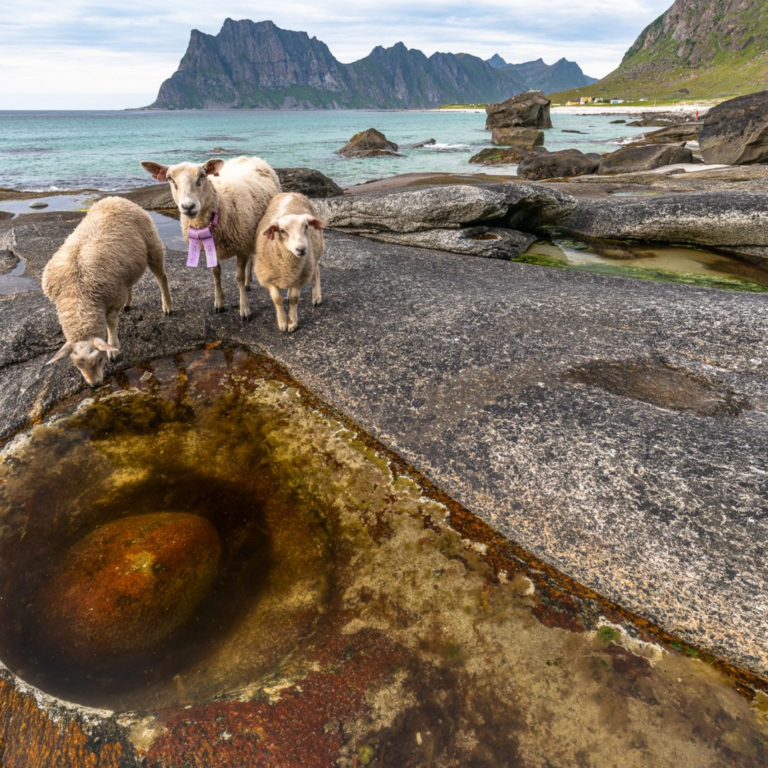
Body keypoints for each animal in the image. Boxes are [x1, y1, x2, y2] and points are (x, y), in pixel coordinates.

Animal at [43, 196, 174, 388]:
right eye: (77, 365)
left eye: (99, 360)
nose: (95, 385)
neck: (78, 296)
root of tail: (116, 198)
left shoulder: (112, 301)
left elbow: (111, 325)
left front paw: (114, 349)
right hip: (125, 267)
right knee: (129, 283)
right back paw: (128, 303)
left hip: (152, 246)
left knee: (162, 277)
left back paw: (167, 305)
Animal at [140, 154, 280, 320]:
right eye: (169, 178)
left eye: (202, 175)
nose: (188, 206)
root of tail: (248, 157)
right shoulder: (211, 247)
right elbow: (216, 274)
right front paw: (219, 302)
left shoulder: (241, 245)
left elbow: (238, 277)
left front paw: (244, 308)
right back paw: (247, 282)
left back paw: (248, 281)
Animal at [254, 192, 322, 330]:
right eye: (282, 231)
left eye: (306, 226)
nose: (301, 249)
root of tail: (291, 193)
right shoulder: (268, 279)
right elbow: (277, 299)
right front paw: (282, 323)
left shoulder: (301, 277)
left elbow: (294, 299)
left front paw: (292, 323)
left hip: (315, 253)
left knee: (316, 272)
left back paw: (316, 297)